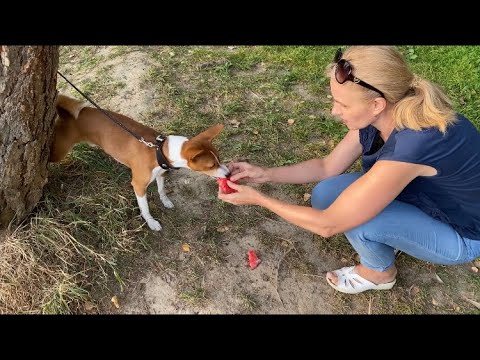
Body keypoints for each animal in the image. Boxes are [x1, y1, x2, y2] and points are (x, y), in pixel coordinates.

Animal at [49, 94, 230, 231]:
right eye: (211, 165)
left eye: (219, 159)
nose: (228, 173)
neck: (159, 150)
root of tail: (65, 114)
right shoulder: (138, 185)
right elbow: (145, 208)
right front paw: (151, 222)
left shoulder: (161, 173)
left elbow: (161, 189)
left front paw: (165, 201)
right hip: (58, 153)